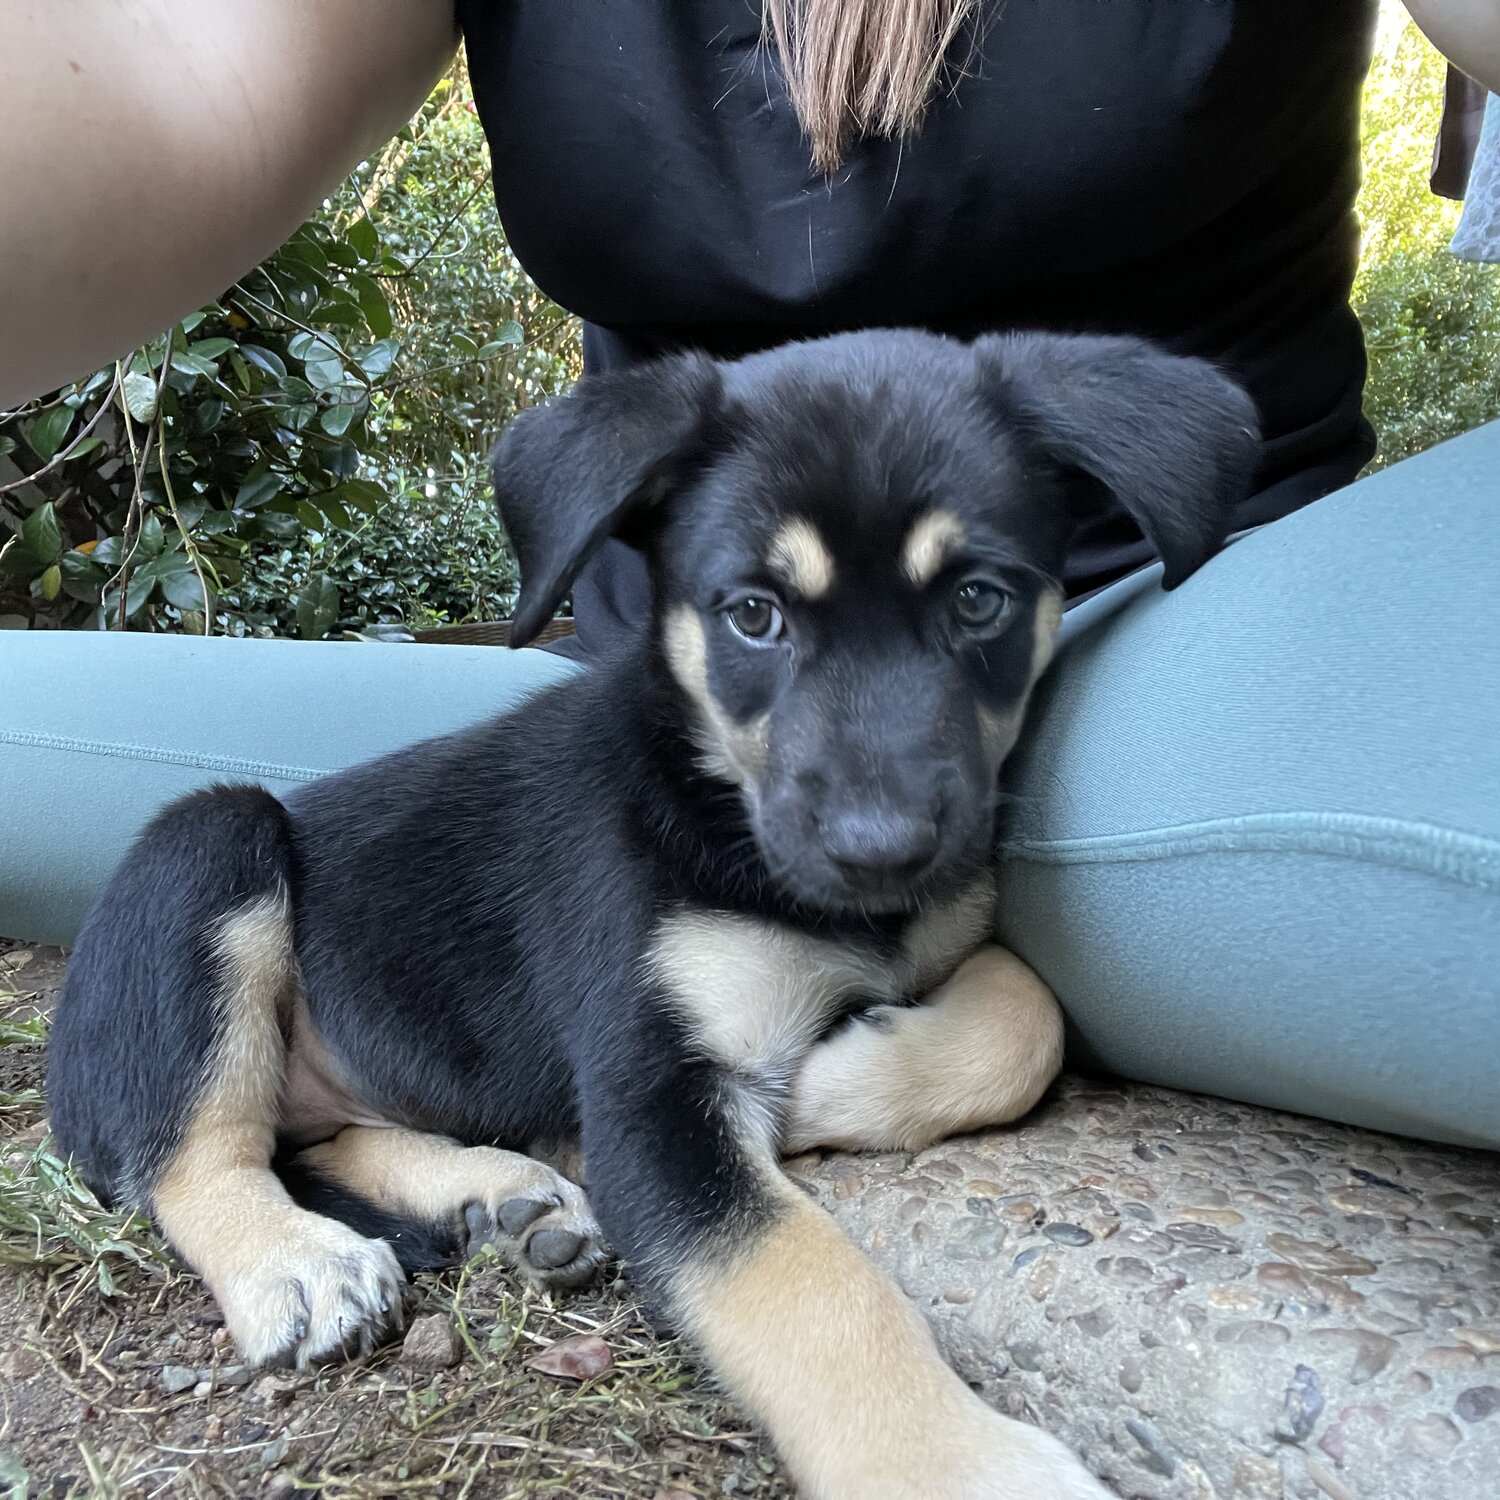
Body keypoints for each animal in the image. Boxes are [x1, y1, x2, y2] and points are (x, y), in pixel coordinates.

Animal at [49, 331, 1254, 1500]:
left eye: (979, 601)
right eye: (754, 616)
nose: (882, 851)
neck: (717, 795)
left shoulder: (950, 932)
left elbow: (1026, 1011)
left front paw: (842, 1068)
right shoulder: (652, 1095)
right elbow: (805, 1281)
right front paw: (957, 1465)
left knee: (321, 1136)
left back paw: (502, 1197)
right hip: (212, 842)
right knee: (190, 1156)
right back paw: (295, 1260)